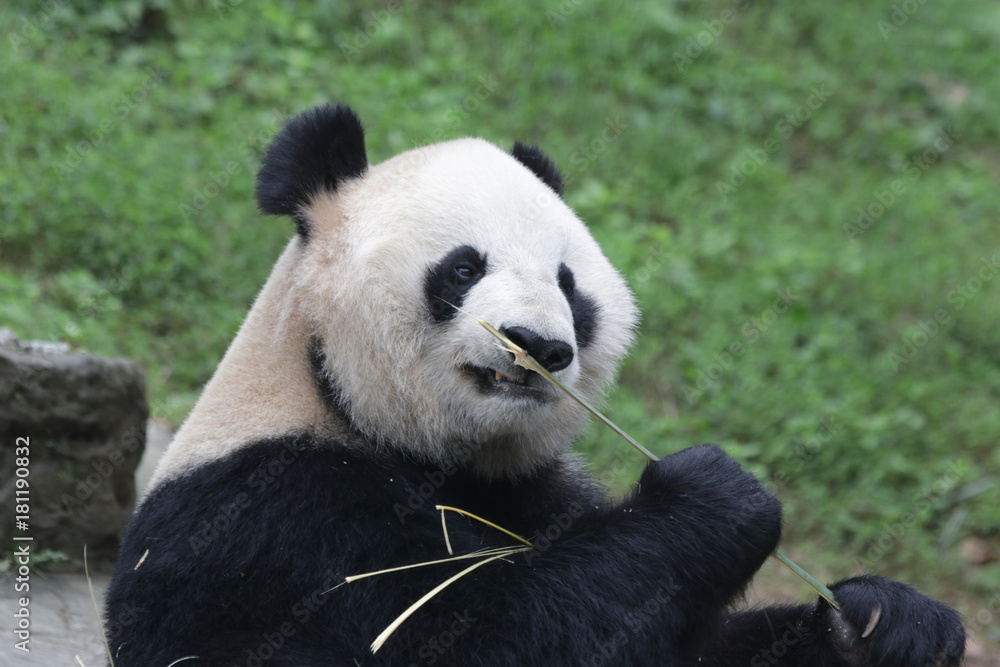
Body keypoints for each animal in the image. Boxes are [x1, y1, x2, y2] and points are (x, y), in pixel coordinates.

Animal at [105, 104, 965, 666]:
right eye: (463, 268)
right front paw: (716, 496)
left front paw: (885, 622)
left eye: (568, 284)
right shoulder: (269, 522)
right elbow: (467, 634)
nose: (539, 345)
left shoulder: (538, 491)